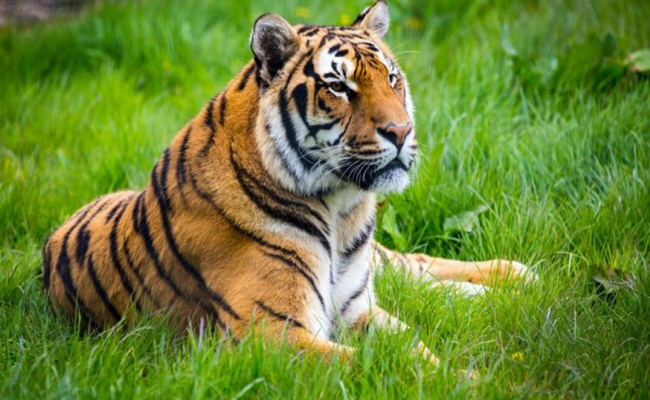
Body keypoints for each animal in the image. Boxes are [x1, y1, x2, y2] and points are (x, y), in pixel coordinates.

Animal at [42, 0, 532, 367]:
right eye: (339, 87)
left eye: (392, 78)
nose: (401, 131)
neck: (340, 210)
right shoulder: (270, 332)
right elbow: (372, 363)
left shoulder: (358, 307)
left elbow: (416, 349)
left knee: (418, 266)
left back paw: (516, 277)